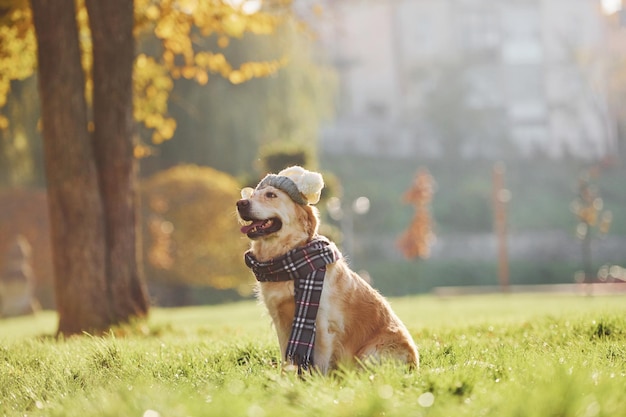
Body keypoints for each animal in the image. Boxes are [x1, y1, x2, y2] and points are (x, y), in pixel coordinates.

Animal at [236, 166, 416, 374]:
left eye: (271, 195)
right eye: (251, 194)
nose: (240, 203)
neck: (287, 258)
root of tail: (415, 365)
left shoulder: (322, 323)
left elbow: (319, 362)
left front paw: (313, 380)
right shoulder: (280, 320)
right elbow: (287, 358)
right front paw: (286, 378)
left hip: (371, 352)